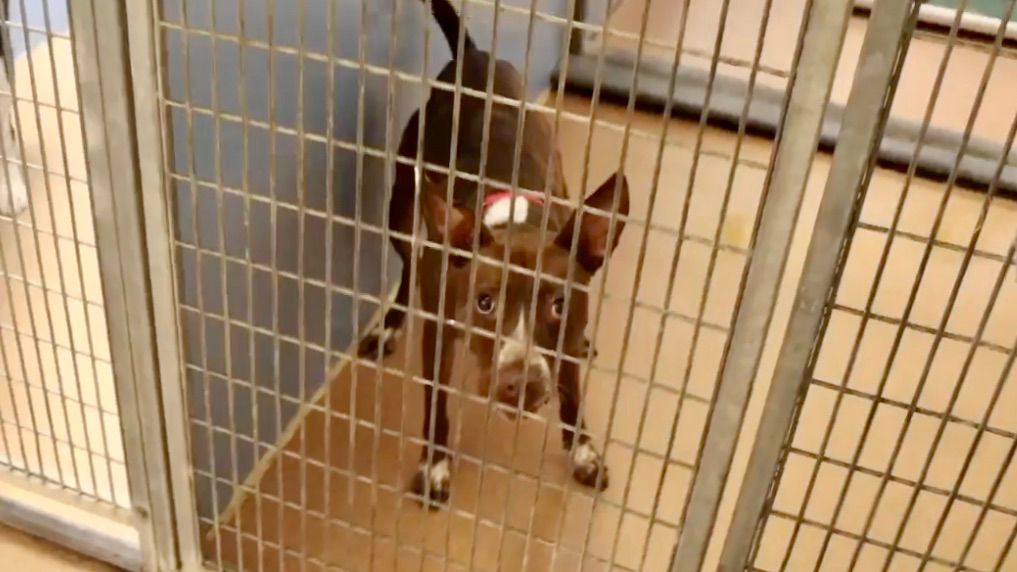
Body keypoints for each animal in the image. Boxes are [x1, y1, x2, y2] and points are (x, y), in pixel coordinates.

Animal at [357, 0, 626, 502]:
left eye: (559, 305)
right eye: (485, 302)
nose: (521, 384)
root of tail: (472, 55)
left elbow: (573, 388)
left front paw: (583, 451)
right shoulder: (440, 334)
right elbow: (437, 401)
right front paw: (435, 466)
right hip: (402, 205)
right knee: (407, 265)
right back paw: (389, 327)